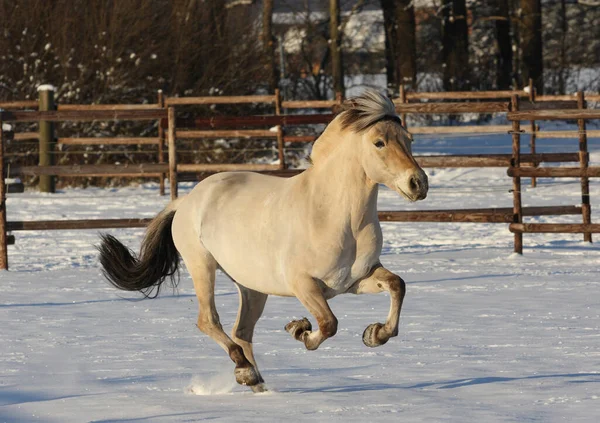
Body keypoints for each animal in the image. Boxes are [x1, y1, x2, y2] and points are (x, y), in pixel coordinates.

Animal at [99, 89, 426, 394]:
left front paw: (374, 334)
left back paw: (256, 382)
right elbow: (328, 324)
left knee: (241, 331)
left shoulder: (355, 280)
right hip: (201, 265)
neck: (338, 216)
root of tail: (187, 200)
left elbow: (397, 285)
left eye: (409, 139)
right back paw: (245, 369)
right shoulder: (303, 284)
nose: (418, 183)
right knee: (209, 321)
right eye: (379, 142)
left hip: (252, 287)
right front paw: (299, 330)